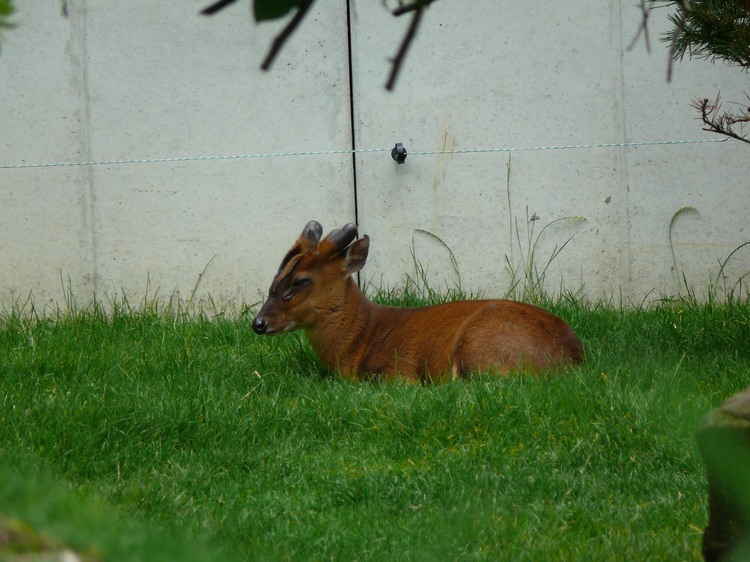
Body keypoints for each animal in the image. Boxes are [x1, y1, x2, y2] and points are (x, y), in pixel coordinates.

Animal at [254, 219, 588, 380]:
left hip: (481, 346)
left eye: (301, 281)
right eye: (276, 276)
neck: (361, 339)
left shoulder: (395, 372)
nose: (258, 323)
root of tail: (572, 357)